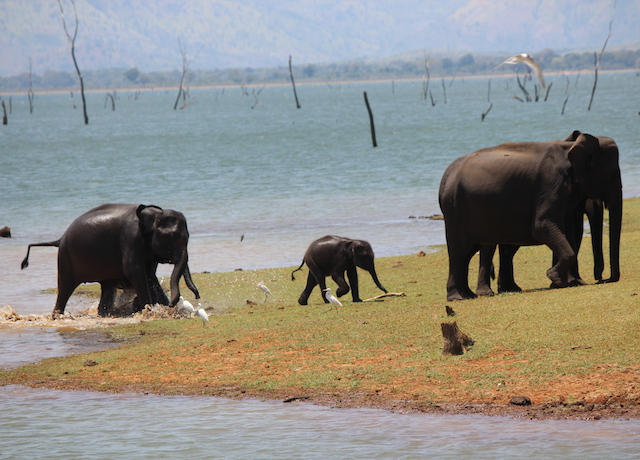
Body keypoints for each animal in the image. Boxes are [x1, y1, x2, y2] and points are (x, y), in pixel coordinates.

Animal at [20, 204, 200, 316]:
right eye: (169, 237)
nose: (197, 296)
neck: (154, 213)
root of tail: (60, 239)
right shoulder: (130, 238)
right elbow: (135, 271)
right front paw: (150, 312)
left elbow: (149, 275)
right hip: (65, 258)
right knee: (64, 288)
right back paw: (57, 316)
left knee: (106, 287)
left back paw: (103, 314)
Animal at [438, 131, 624, 300]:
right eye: (611, 175)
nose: (602, 279)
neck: (570, 147)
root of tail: (445, 177)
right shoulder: (552, 183)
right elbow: (542, 226)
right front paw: (555, 278)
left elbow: (567, 231)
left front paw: (563, 282)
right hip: (455, 209)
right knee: (458, 251)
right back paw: (458, 297)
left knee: (468, 252)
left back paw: (470, 295)